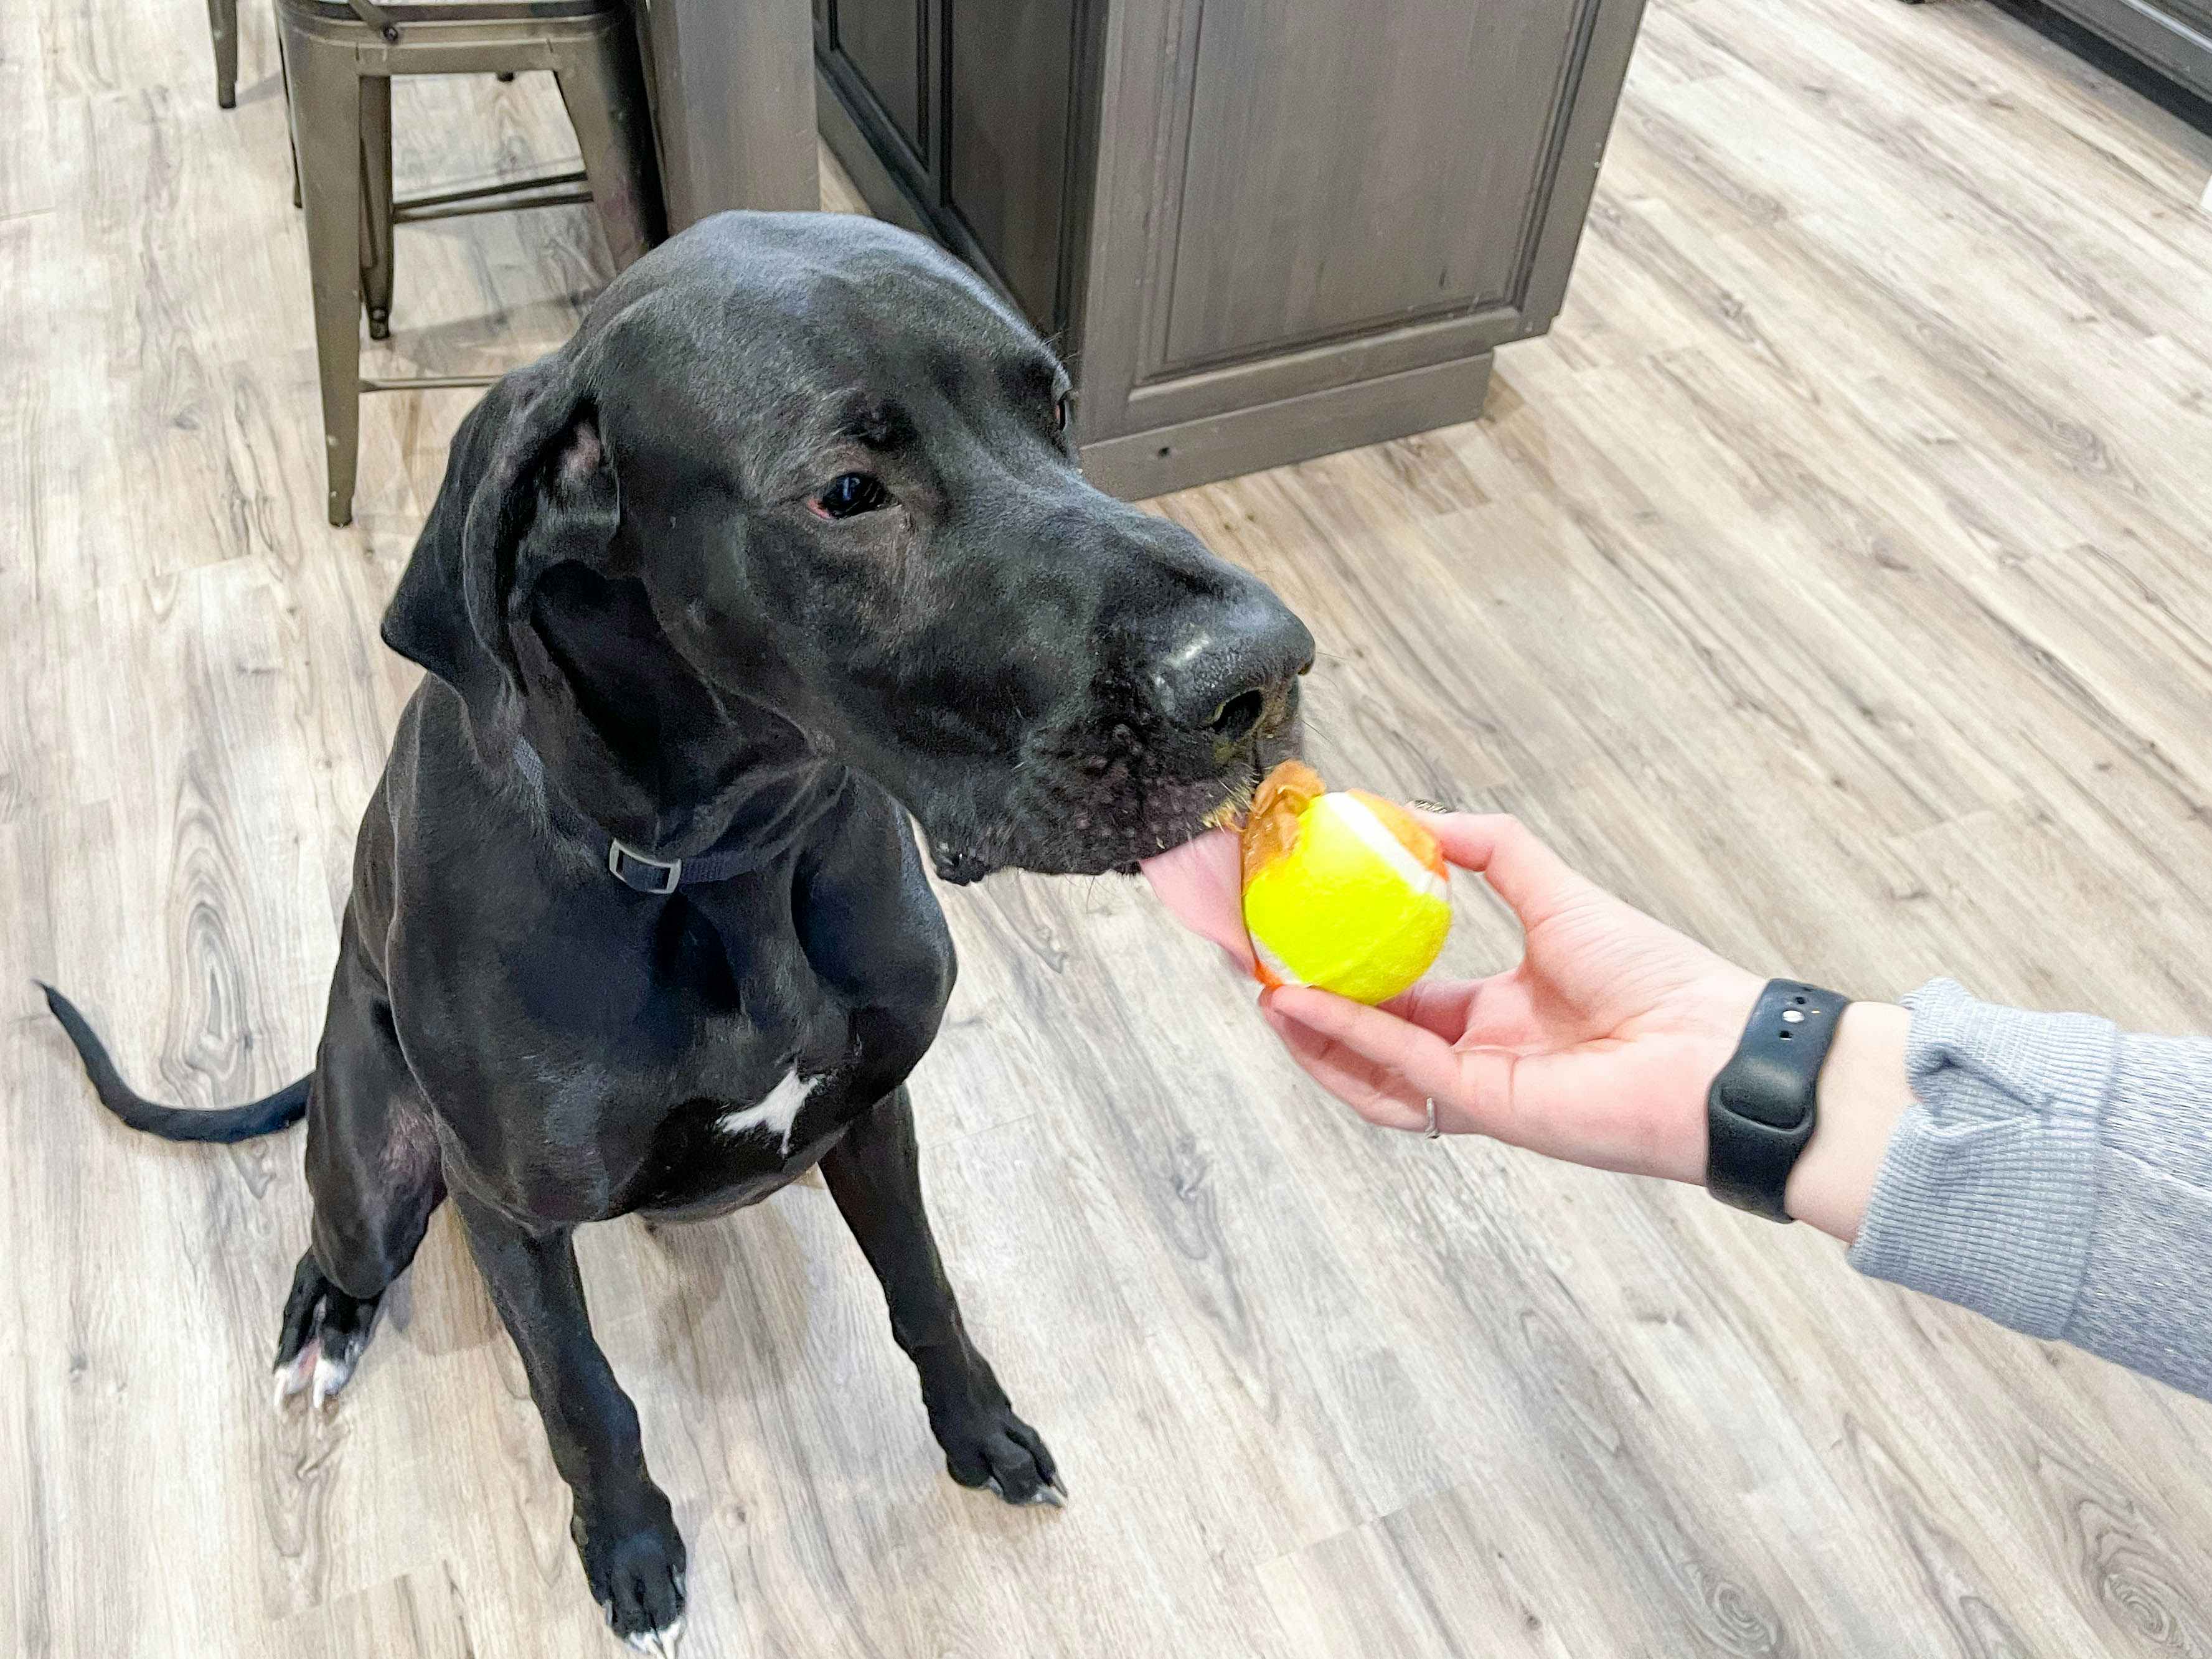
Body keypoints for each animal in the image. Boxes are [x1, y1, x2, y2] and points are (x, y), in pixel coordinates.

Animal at [43, 211, 1301, 1654]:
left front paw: (978, 1429)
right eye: (847, 493)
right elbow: (582, 1394)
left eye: (1055, 410)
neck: (732, 856)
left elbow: (924, 1287)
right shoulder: (513, 1214)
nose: (1262, 674)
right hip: (377, 1164)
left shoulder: (874, 1107)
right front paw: (631, 1549)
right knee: (334, 1240)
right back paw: (327, 1323)